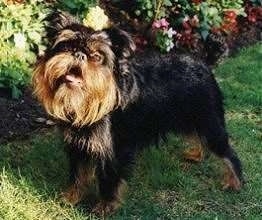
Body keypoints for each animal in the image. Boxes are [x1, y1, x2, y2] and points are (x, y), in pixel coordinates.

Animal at [32, 11, 244, 215]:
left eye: (97, 56)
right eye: (67, 46)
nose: (79, 54)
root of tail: (205, 63)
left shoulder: (114, 151)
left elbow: (109, 181)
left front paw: (104, 207)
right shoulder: (78, 147)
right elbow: (77, 175)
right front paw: (70, 198)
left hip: (208, 120)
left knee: (228, 153)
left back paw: (235, 182)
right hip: (190, 119)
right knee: (199, 138)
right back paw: (197, 155)